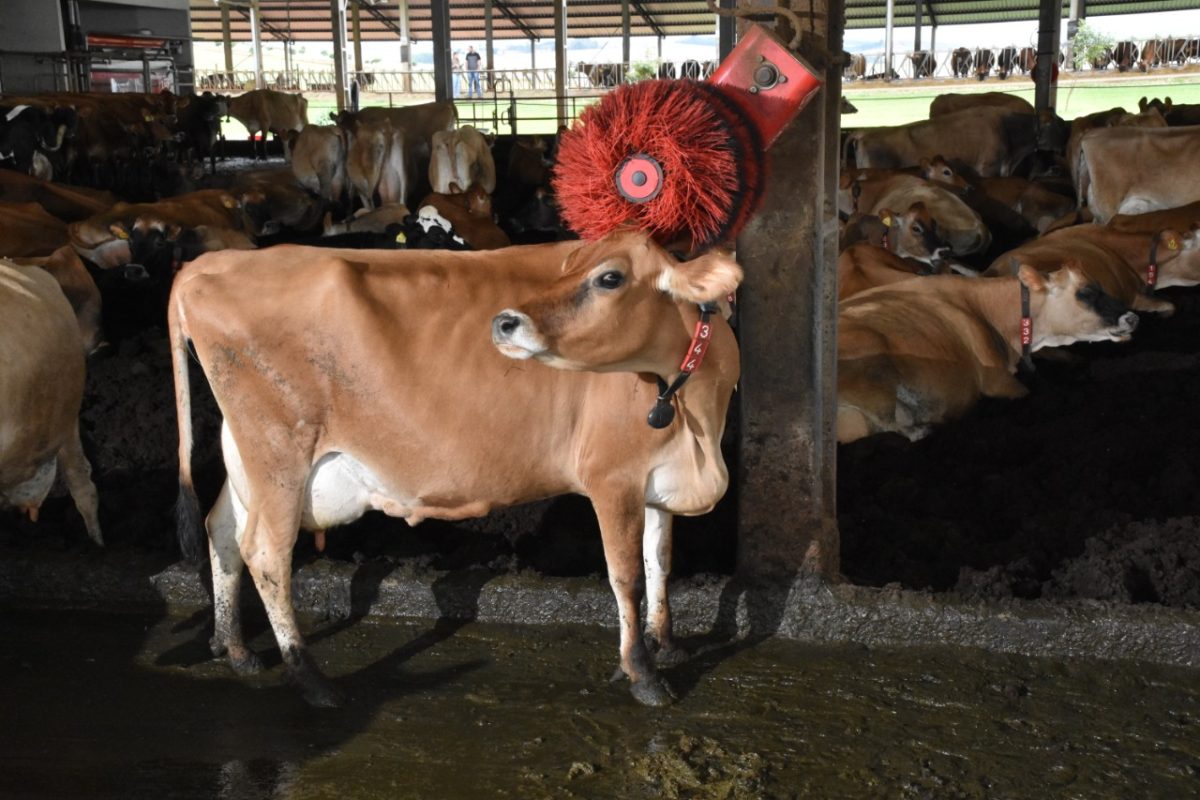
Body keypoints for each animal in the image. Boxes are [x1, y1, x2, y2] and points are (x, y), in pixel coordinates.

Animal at [171, 230, 739, 705]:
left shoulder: (656, 477)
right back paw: (310, 678)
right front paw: (643, 674)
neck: (699, 428)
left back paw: (236, 648)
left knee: (222, 529)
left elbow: (659, 559)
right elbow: (627, 577)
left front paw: (665, 643)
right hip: (279, 449)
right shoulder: (613, 477)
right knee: (266, 551)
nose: (504, 321)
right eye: (568, 267)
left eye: (610, 277)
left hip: (245, 452)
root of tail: (208, 263)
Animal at [840, 267, 1137, 443]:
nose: (1132, 317)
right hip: (874, 366)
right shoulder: (998, 381)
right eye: (1085, 293)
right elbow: (1028, 392)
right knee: (895, 425)